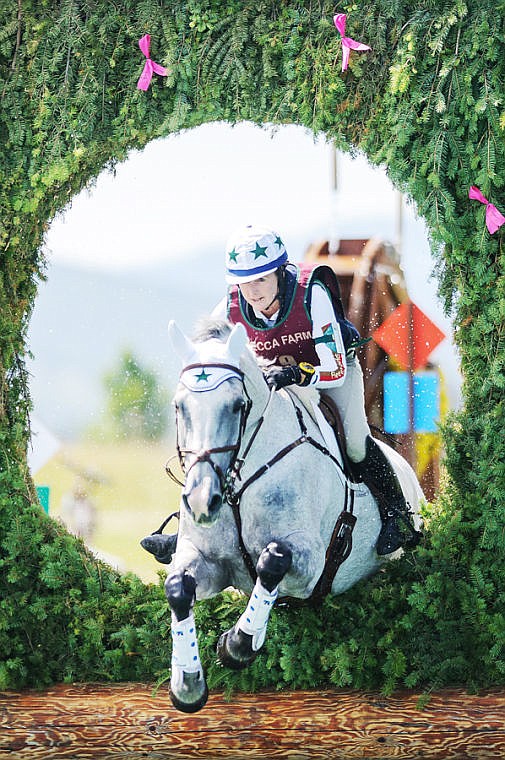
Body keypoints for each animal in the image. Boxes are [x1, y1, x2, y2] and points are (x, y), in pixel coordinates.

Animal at [160, 318, 422, 716]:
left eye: (237, 406)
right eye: (180, 407)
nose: (203, 501)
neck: (238, 484)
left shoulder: (310, 566)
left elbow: (272, 562)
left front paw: (237, 645)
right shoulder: (209, 562)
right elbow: (178, 587)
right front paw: (187, 683)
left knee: (360, 447)